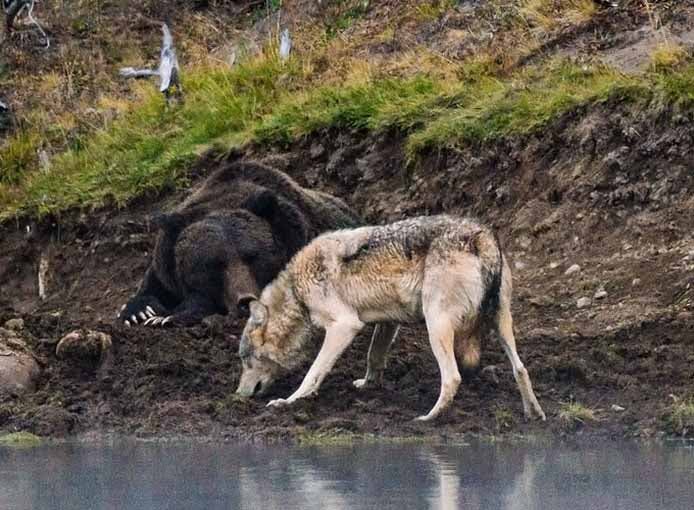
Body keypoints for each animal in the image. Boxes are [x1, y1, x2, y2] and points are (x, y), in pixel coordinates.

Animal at [117, 157, 362, 328]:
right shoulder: (166, 266)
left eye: (253, 256)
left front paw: (166, 317)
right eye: (213, 264)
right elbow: (151, 290)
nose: (245, 301)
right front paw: (143, 313)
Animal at [237, 215, 548, 422]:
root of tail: (481, 235)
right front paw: (368, 385)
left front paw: (289, 402)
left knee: (452, 378)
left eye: (245, 360)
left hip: (436, 326)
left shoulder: (344, 326)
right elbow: (374, 357)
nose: (239, 396)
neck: (295, 291)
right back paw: (534, 414)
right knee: (521, 369)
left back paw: (428, 418)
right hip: (501, 324)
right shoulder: (387, 322)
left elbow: (313, 373)